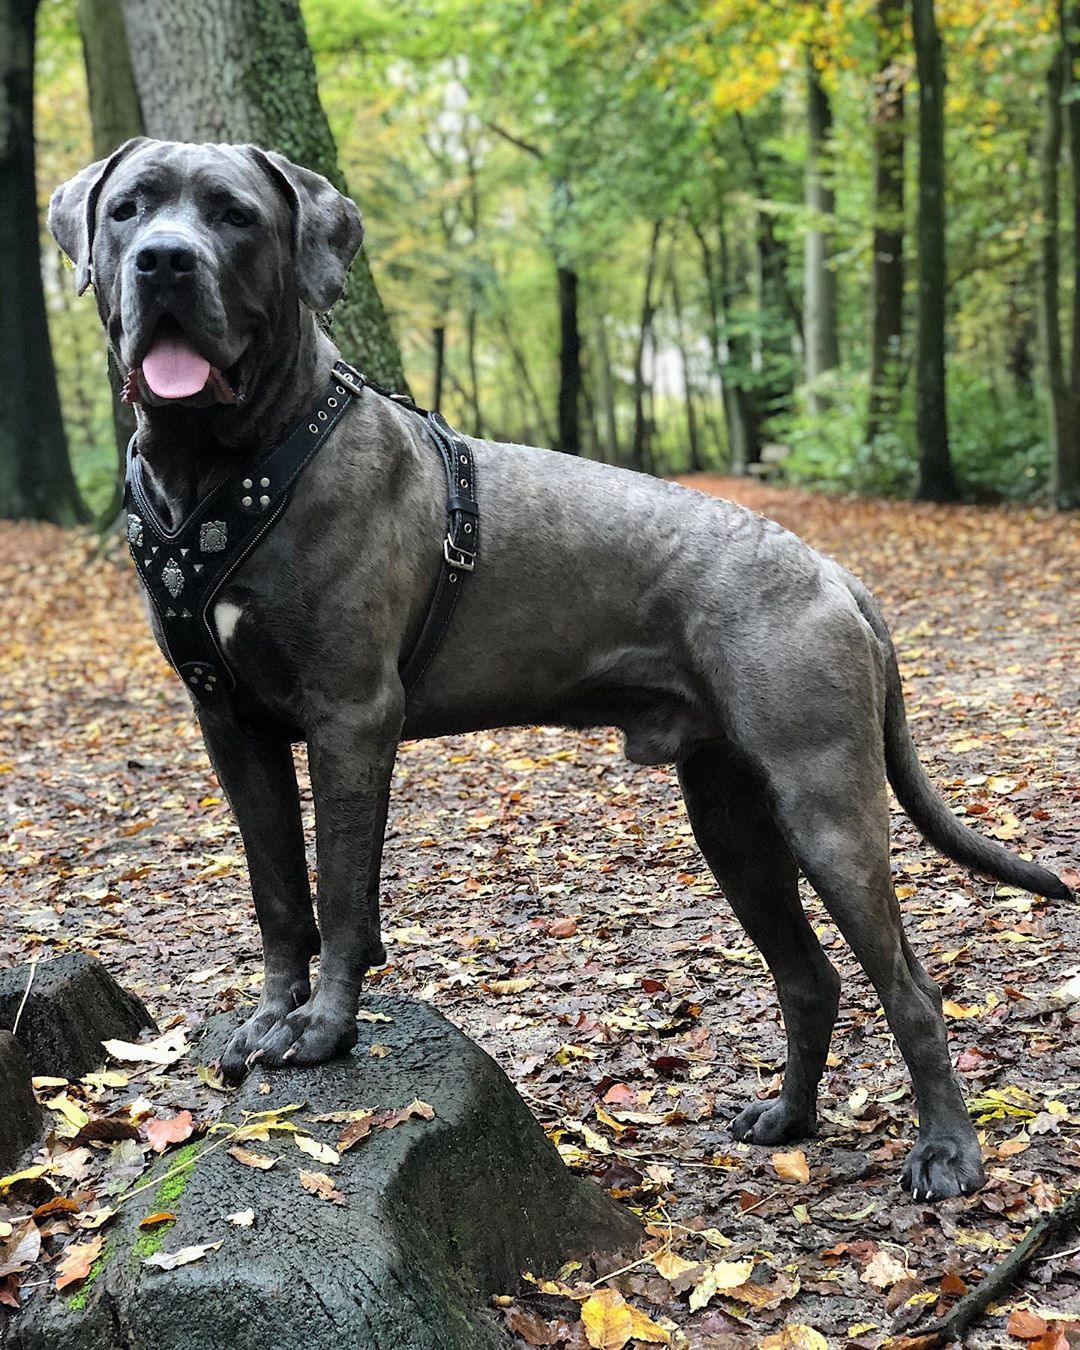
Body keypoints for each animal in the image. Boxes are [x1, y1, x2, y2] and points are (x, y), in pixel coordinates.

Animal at [48, 142, 1063, 1204]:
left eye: (235, 216)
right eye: (128, 210)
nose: (164, 262)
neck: (224, 460)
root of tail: (832, 571)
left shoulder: (350, 718)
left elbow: (342, 893)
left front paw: (322, 1032)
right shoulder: (232, 726)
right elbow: (279, 892)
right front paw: (269, 1017)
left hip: (826, 805)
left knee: (909, 985)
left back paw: (946, 1151)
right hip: (732, 817)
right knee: (809, 976)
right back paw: (787, 1117)